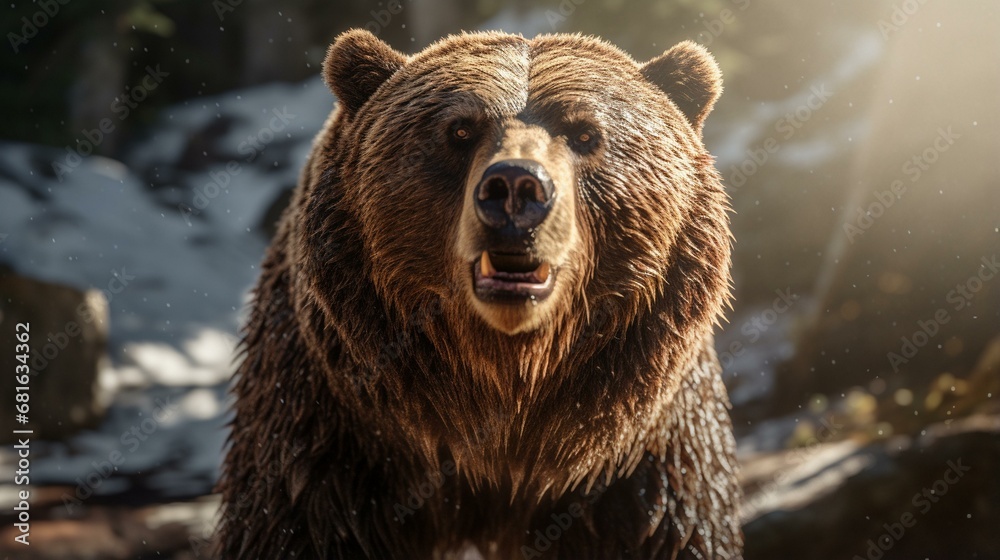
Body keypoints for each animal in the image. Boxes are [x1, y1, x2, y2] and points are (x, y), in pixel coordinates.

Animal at [215, 29, 741, 560]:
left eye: (585, 134)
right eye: (460, 131)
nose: (515, 186)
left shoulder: (647, 469)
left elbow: (667, 526)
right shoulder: (327, 442)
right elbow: (295, 520)